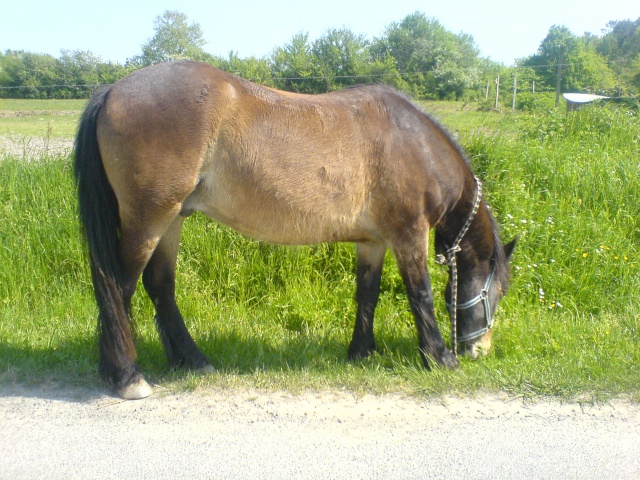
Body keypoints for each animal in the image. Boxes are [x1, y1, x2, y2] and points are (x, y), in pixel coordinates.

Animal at [74, 62, 516, 402]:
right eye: (499, 291)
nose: (481, 349)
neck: (415, 145)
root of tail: (112, 90)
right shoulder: (409, 234)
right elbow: (420, 294)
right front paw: (439, 357)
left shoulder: (373, 242)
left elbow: (367, 294)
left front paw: (362, 352)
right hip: (149, 218)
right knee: (118, 288)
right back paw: (127, 376)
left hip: (172, 218)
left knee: (160, 285)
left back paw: (192, 360)